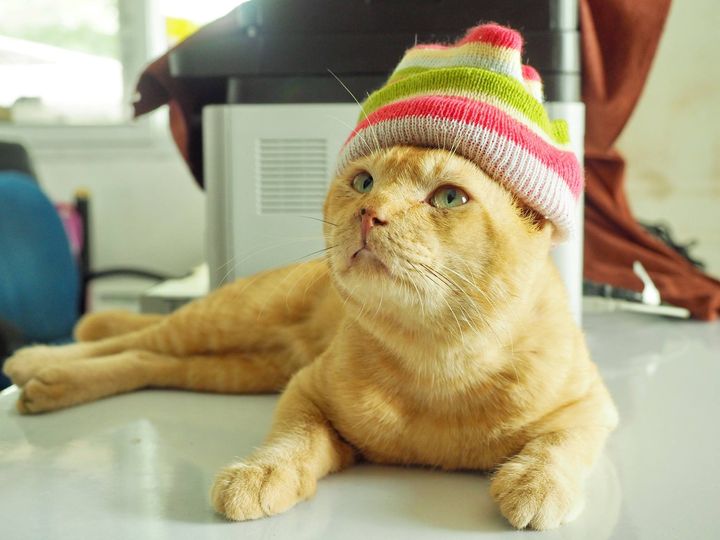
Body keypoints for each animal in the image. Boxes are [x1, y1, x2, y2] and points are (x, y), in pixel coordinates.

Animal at [3, 146, 618, 530]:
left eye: (449, 198)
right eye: (363, 181)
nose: (370, 212)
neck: (437, 365)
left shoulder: (592, 407)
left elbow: (561, 443)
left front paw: (536, 484)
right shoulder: (306, 390)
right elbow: (292, 440)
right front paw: (260, 475)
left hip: (232, 368)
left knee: (145, 358)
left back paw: (50, 382)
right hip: (227, 324)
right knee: (129, 337)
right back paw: (39, 363)